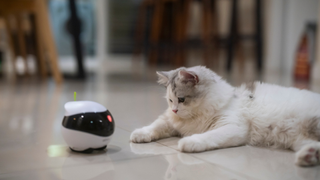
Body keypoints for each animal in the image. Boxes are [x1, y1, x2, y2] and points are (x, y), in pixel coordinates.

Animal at [130, 65, 320, 167]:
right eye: (170, 100)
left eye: (181, 99)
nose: (175, 110)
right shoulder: (170, 121)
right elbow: (154, 126)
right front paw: (140, 134)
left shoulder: (233, 127)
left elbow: (208, 136)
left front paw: (190, 142)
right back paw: (309, 156)